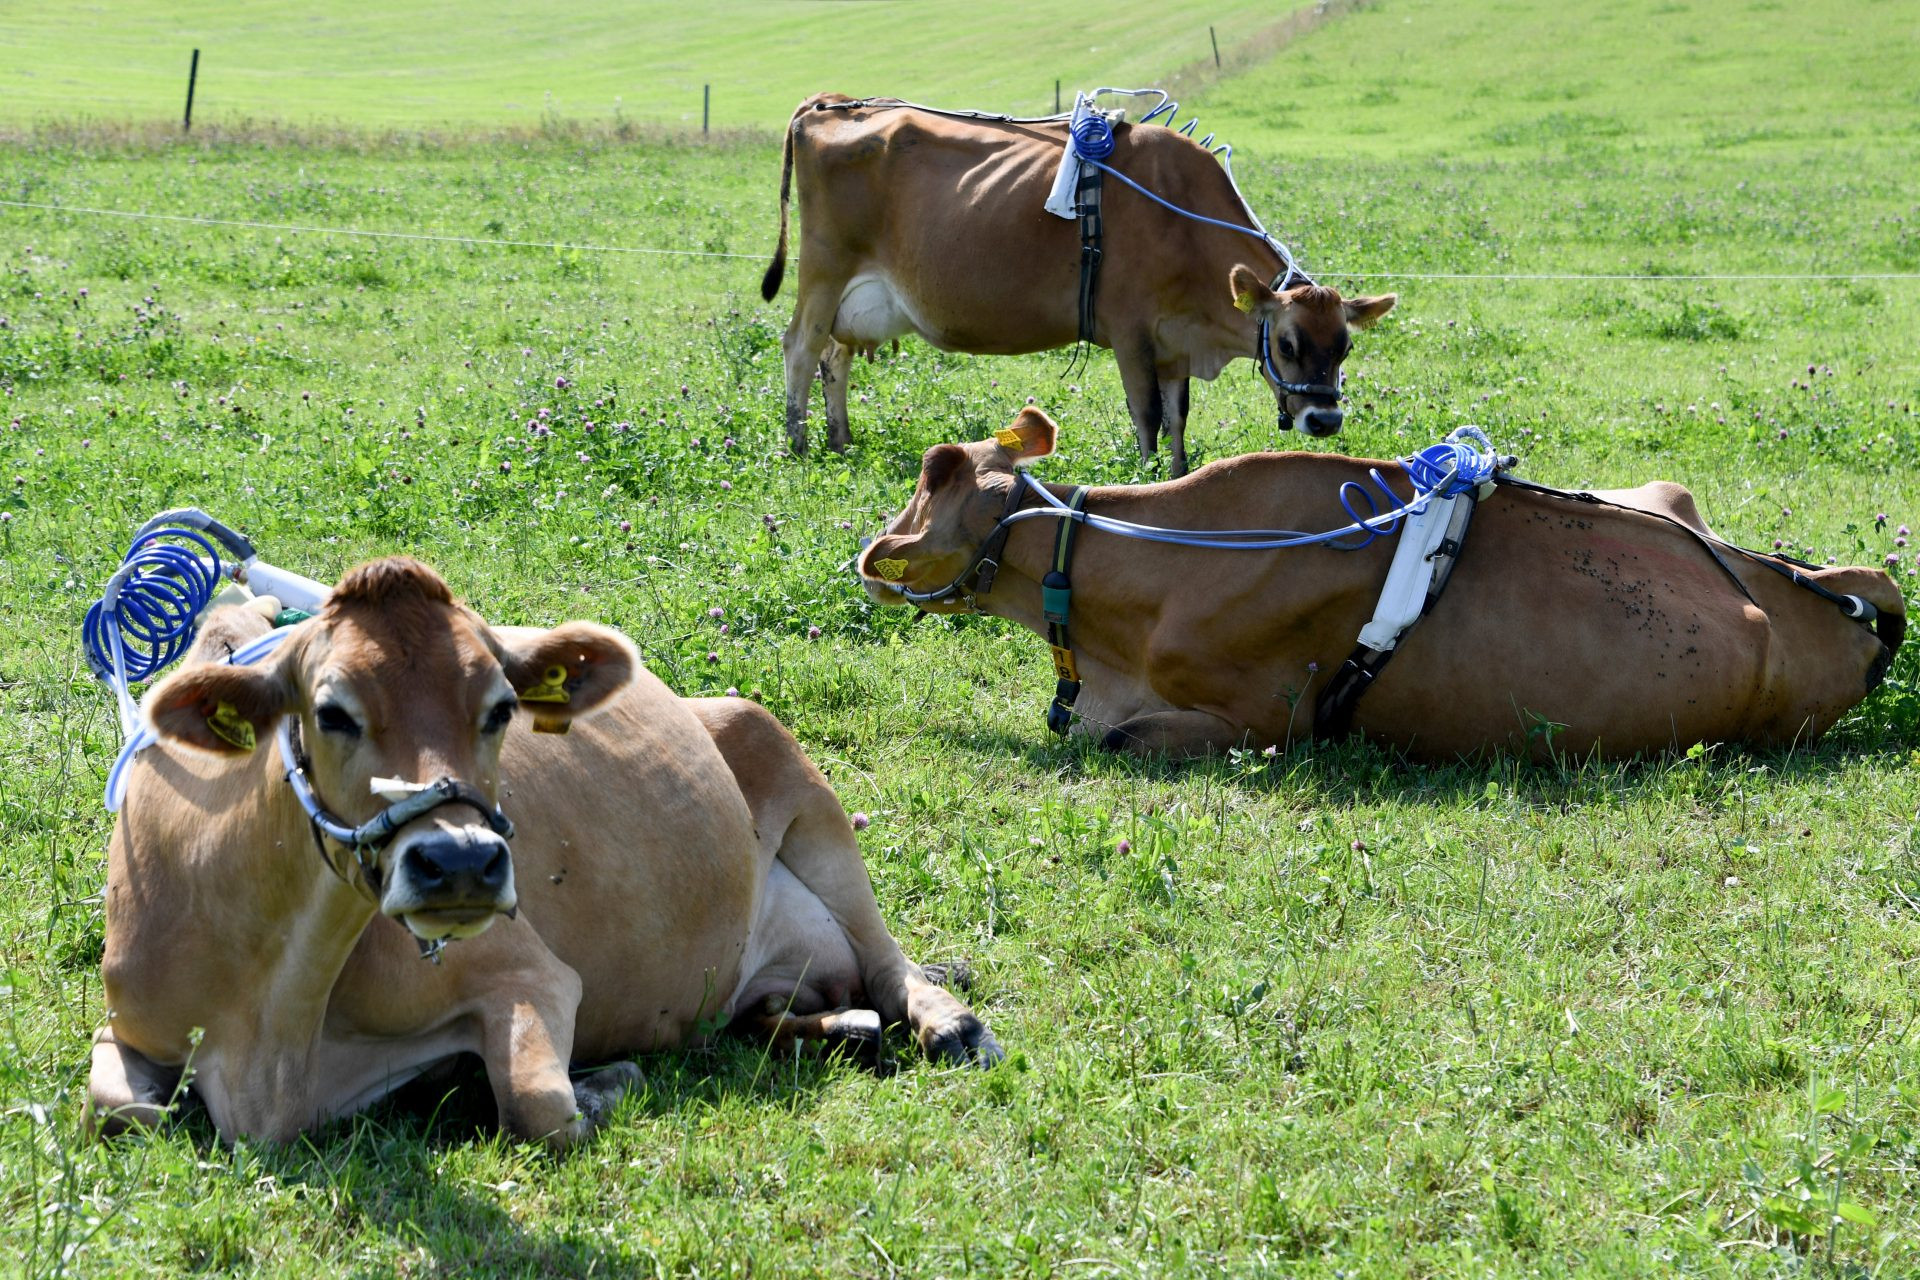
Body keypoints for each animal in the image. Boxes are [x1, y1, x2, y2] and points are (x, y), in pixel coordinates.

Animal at [86, 560, 1006, 1151]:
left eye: (500, 708)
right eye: (331, 711)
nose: (460, 862)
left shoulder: (531, 974)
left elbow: (538, 1110)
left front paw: (607, 1082)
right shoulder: (127, 1020)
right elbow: (120, 1112)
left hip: (784, 760)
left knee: (885, 959)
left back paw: (946, 1020)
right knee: (772, 1007)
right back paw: (838, 1028)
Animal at [752, 94, 1397, 475]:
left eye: (1345, 346)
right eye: (1287, 344)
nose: (1325, 421)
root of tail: (832, 105)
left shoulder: (1174, 343)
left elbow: (1179, 418)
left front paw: (1180, 474)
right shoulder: (1131, 333)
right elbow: (1147, 416)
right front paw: (1148, 481)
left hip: (858, 297)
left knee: (834, 356)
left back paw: (841, 441)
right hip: (824, 269)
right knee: (801, 347)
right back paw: (800, 447)